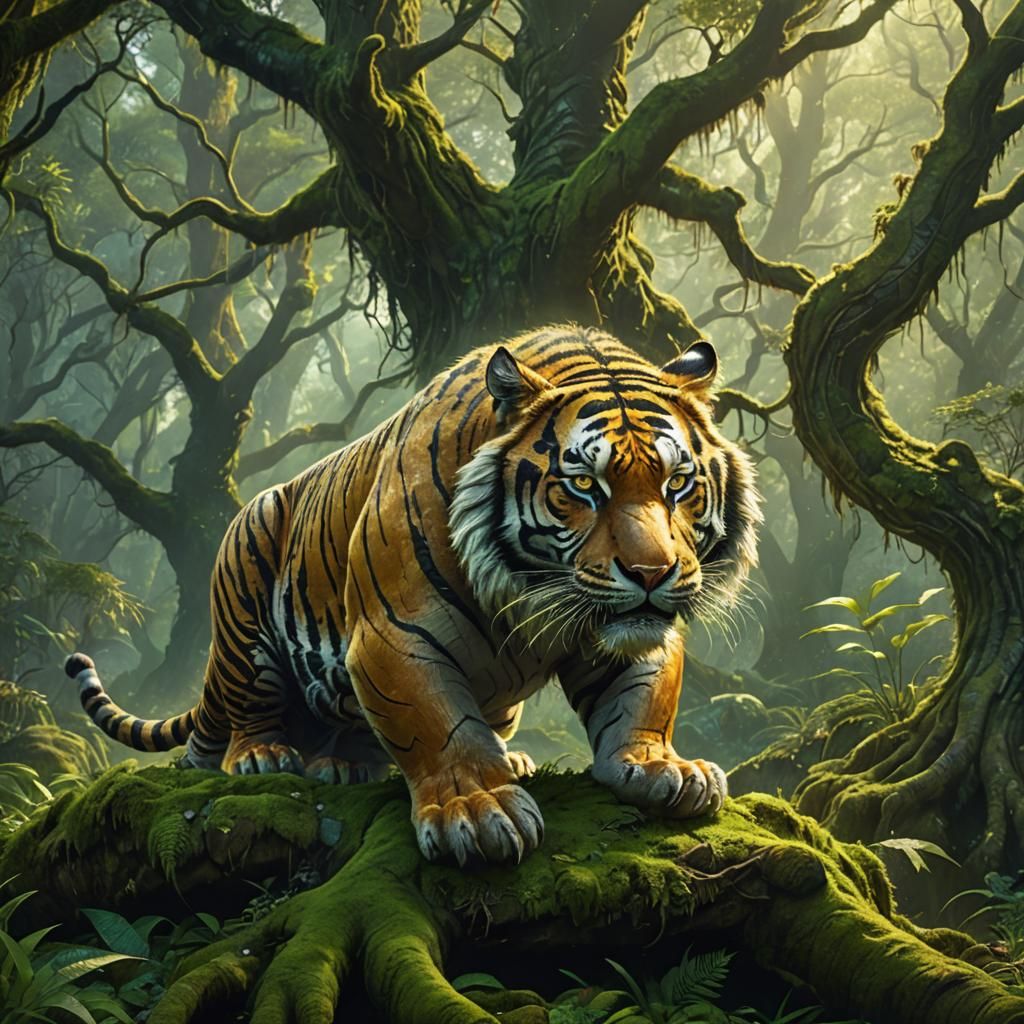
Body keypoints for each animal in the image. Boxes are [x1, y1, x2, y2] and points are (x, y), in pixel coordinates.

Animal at [66, 324, 760, 866]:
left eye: (678, 483)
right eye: (584, 485)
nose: (651, 573)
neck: (530, 589)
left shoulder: (631, 632)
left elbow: (643, 700)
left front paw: (666, 768)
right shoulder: (393, 636)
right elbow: (440, 726)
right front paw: (476, 812)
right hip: (249, 564)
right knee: (236, 722)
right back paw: (268, 756)